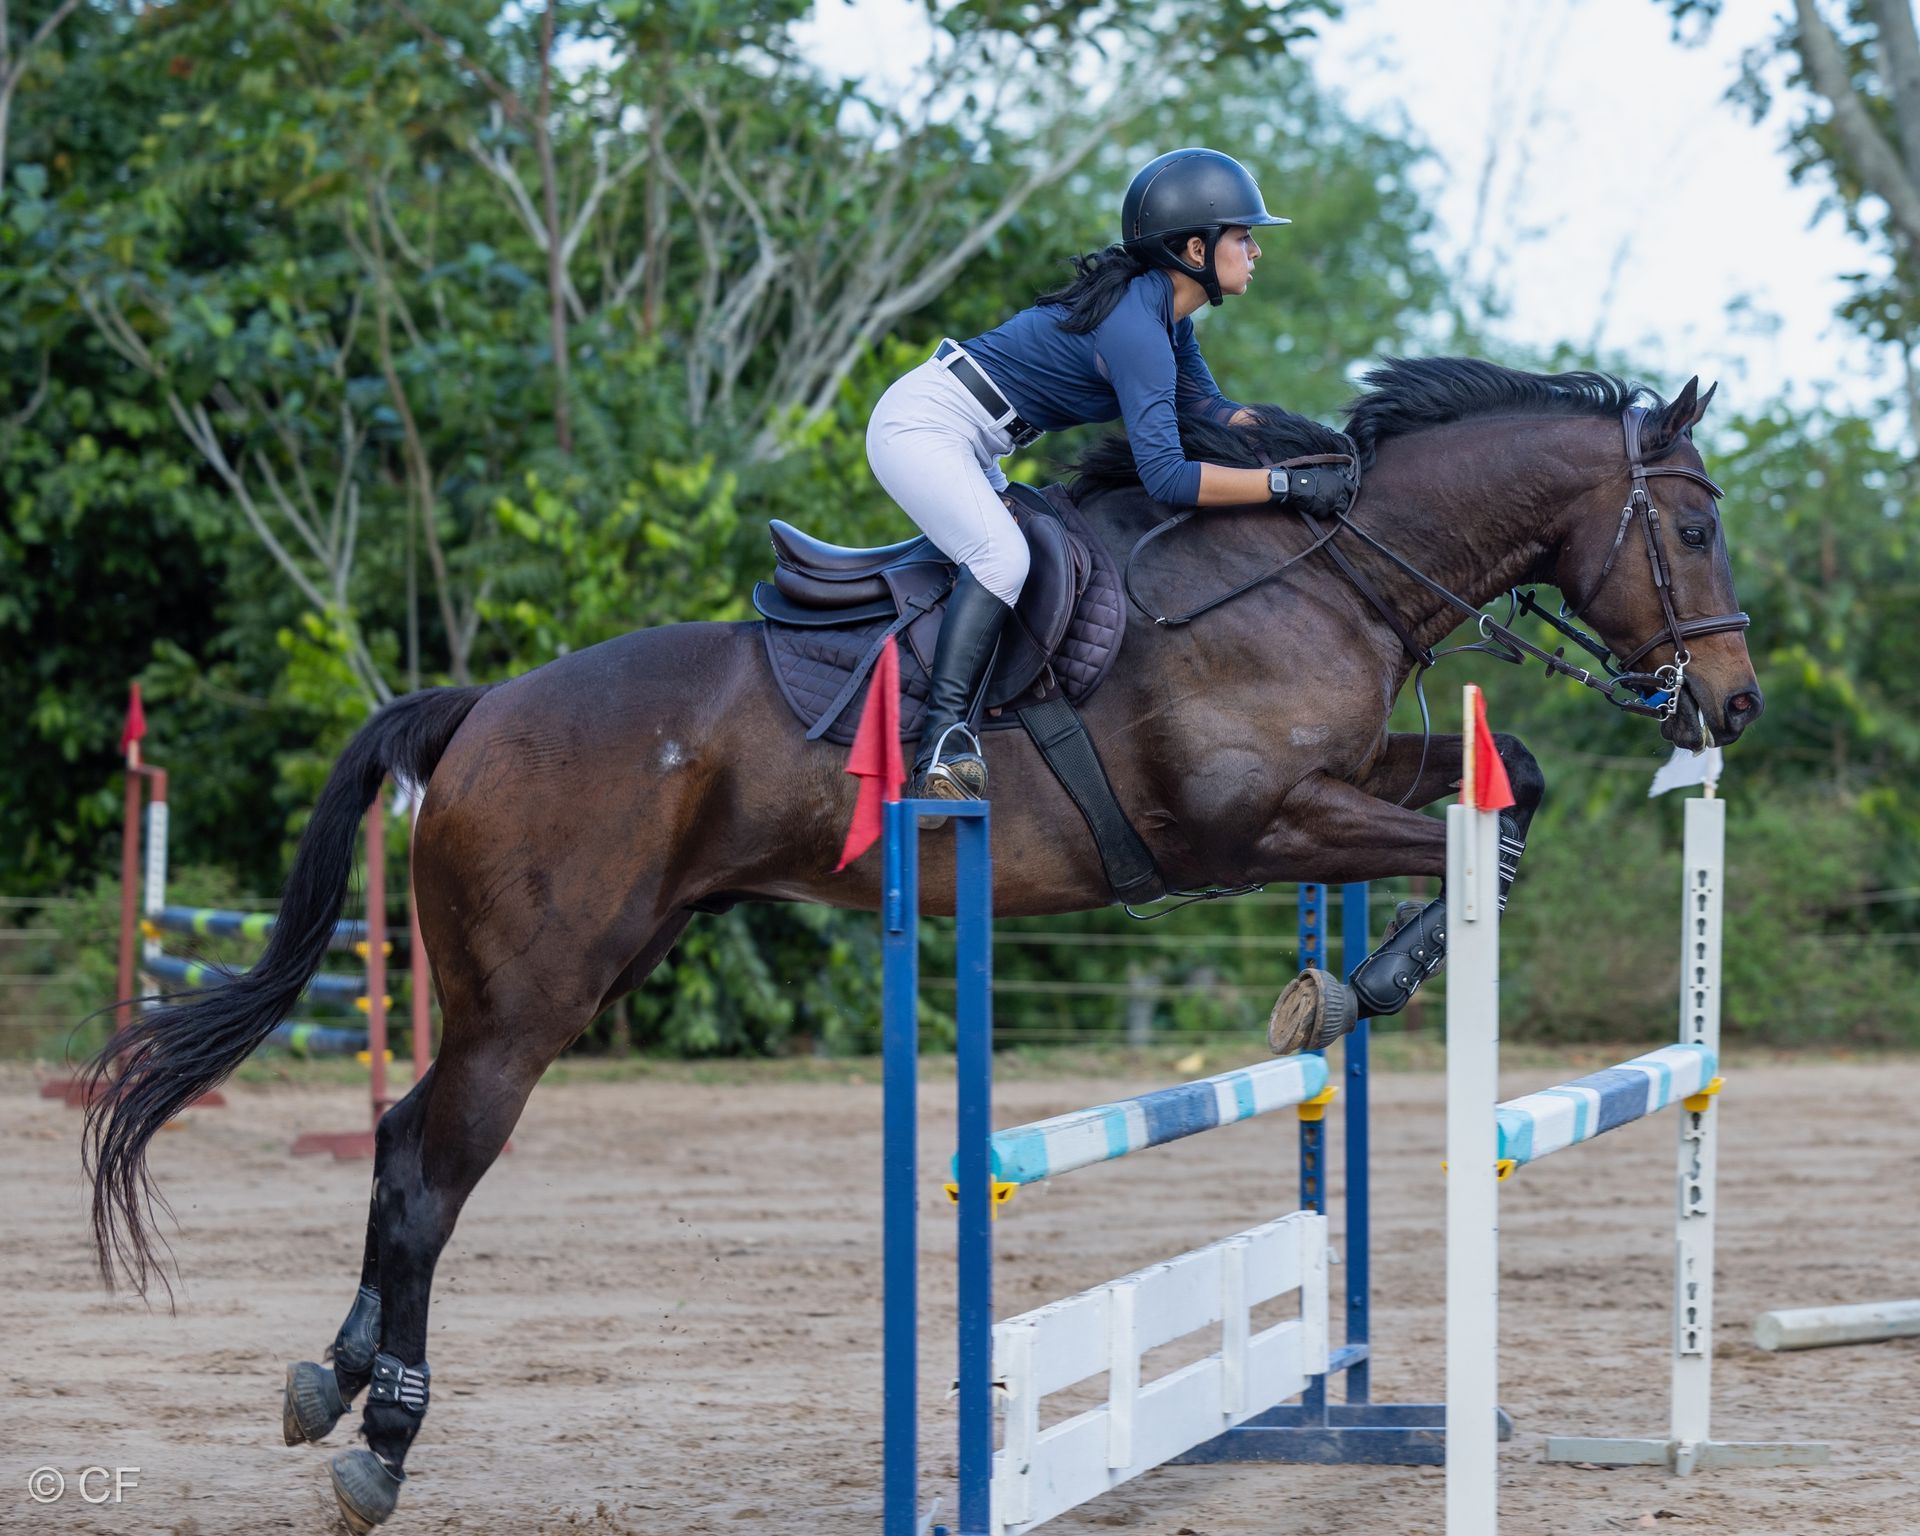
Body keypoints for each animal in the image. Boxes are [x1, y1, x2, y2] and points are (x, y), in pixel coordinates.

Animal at [83, 357, 1760, 1531]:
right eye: (1689, 526)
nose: (1731, 708)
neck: (1331, 574)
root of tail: (481, 707)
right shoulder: (1250, 828)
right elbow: (1480, 833)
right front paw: (1367, 985)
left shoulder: (1343, 788)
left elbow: (1510, 783)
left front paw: (1343, 987)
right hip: (532, 1000)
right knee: (433, 1172)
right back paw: (384, 1442)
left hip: (577, 973)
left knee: (396, 1141)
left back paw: (331, 1379)